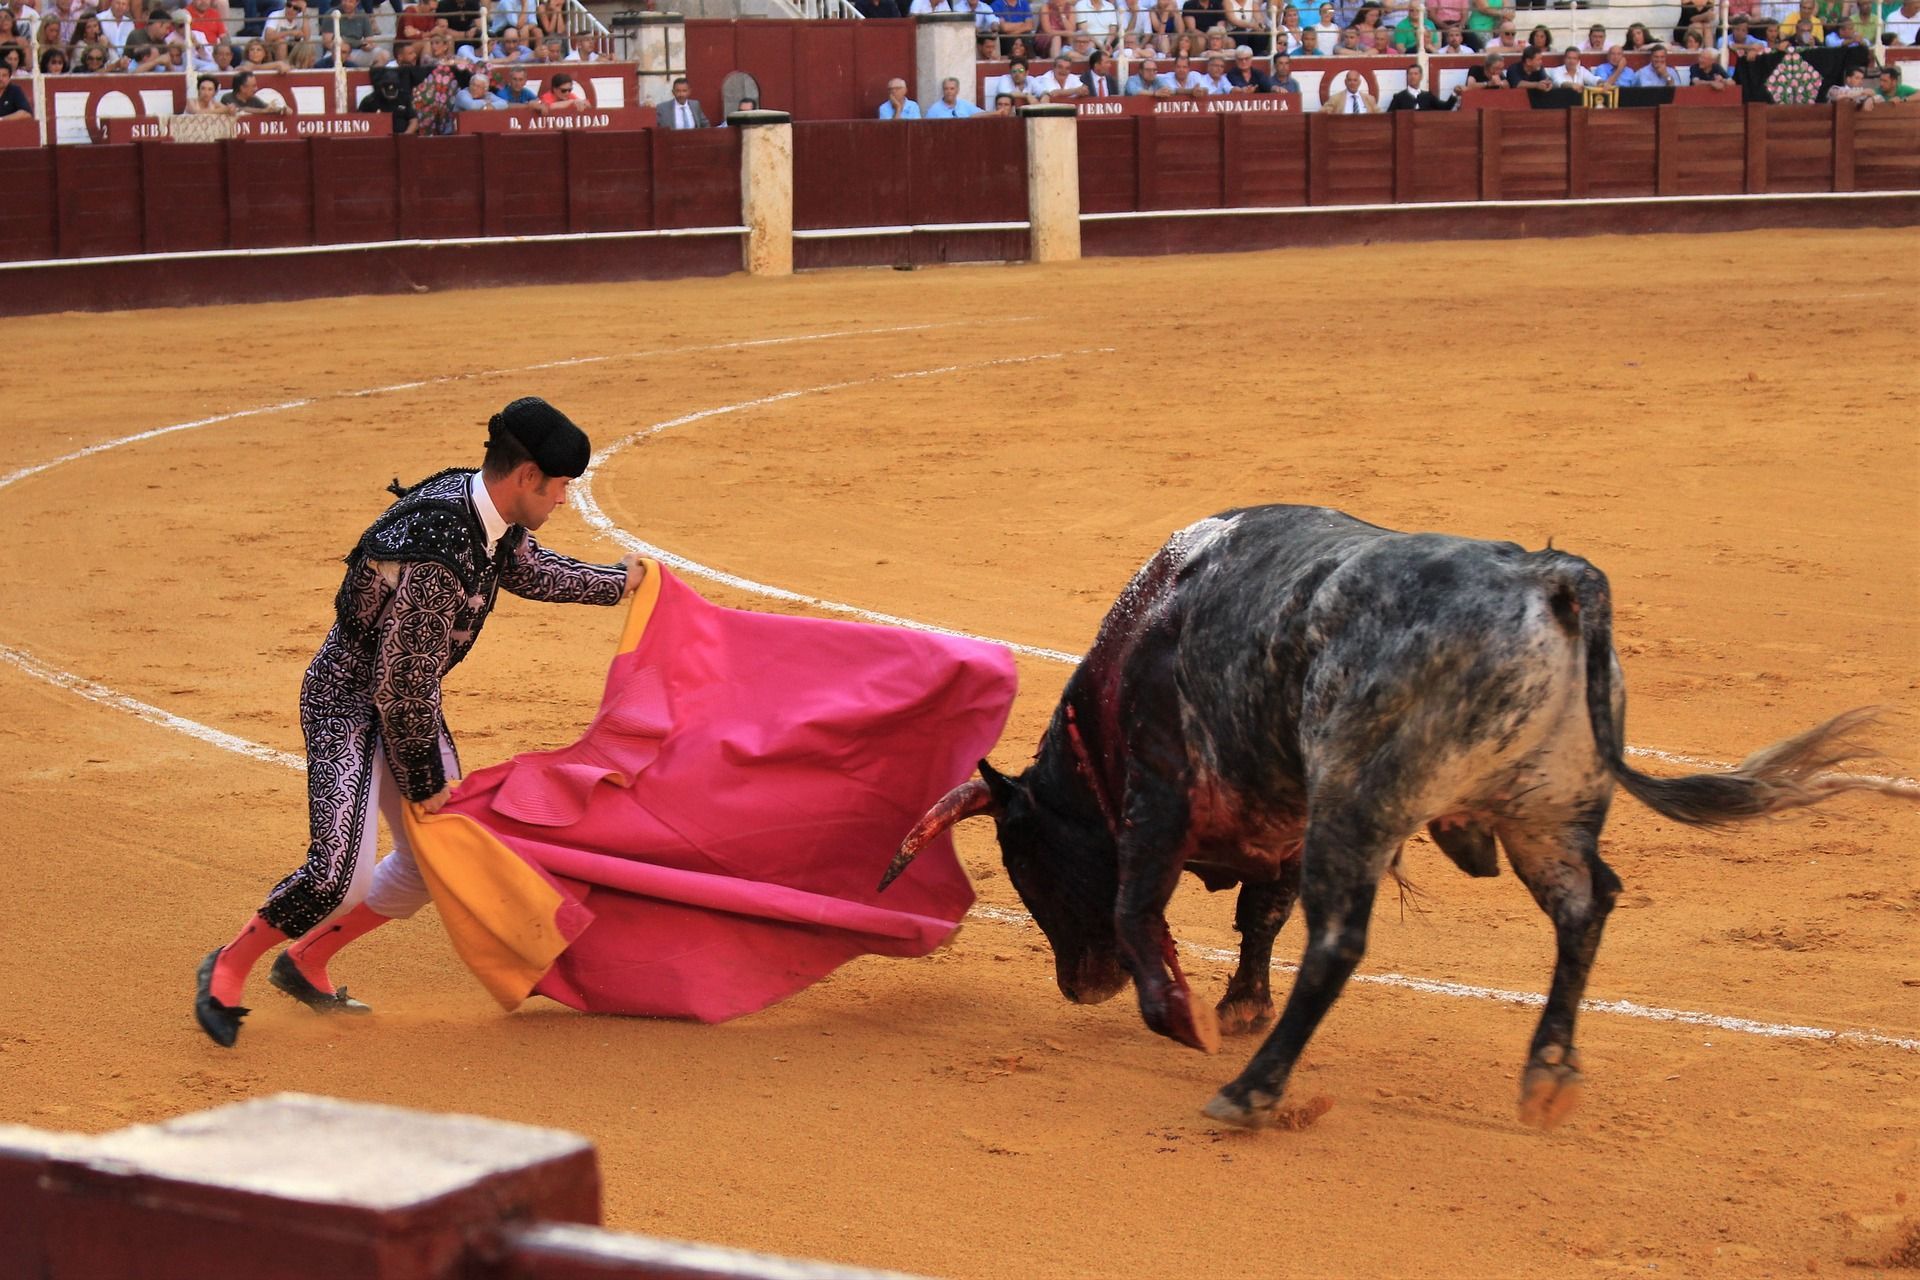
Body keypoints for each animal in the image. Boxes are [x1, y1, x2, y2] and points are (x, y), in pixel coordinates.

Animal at [879, 506, 1904, 1128]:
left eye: (1026, 865)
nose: (1079, 989)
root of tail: (1551, 580)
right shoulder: (1281, 822)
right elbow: (1257, 915)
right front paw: (1238, 1003)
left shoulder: (1162, 793)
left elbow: (1144, 910)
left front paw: (1186, 1016)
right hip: (1545, 807)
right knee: (1586, 905)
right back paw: (1547, 1075)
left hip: (1363, 805)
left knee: (1339, 941)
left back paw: (1250, 1092)